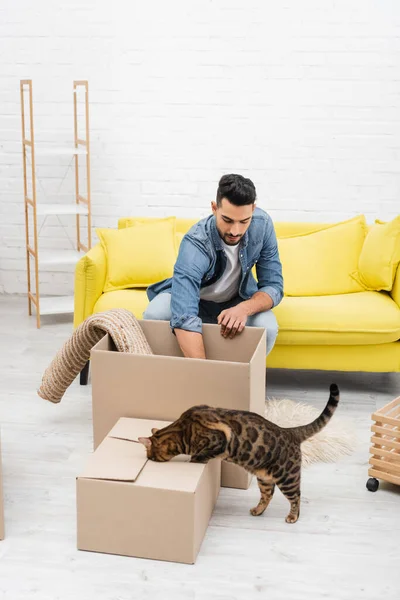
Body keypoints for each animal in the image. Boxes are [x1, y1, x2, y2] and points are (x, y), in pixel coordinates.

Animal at [139, 384, 340, 520]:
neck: (182, 431)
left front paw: (194, 460)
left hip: (287, 477)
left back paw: (292, 517)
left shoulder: (219, 438)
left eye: (150, 456)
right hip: (264, 478)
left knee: (296, 496)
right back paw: (257, 510)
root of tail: (290, 431)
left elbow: (199, 455)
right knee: (268, 495)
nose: (149, 459)